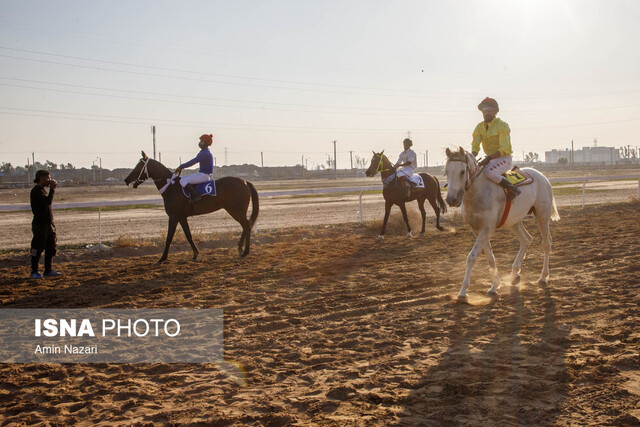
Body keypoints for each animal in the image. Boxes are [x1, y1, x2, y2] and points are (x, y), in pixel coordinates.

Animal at [124, 150, 258, 264]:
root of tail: (245, 182)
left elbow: (169, 237)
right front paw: (195, 254)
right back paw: (240, 248)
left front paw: (162, 258)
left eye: (138, 166)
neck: (172, 187)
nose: (126, 180)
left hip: (236, 211)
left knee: (247, 226)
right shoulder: (182, 217)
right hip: (236, 211)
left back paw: (245, 251)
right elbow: (188, 235)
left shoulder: (173, 217)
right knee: (246, 226)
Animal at [444, 147, 560, 300]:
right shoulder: (477, 230)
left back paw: (543, 277)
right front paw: (495, 286)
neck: (479, 192)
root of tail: (542, 176)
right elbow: (490, 258)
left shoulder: (486, 229)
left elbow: (471, 257)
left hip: (542, 216)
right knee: (526, 239)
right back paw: (515, 274)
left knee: (546, 243)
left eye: (462, 171)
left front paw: (463, 291)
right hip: (515, 221)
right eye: (446, 171)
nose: (451, 199)